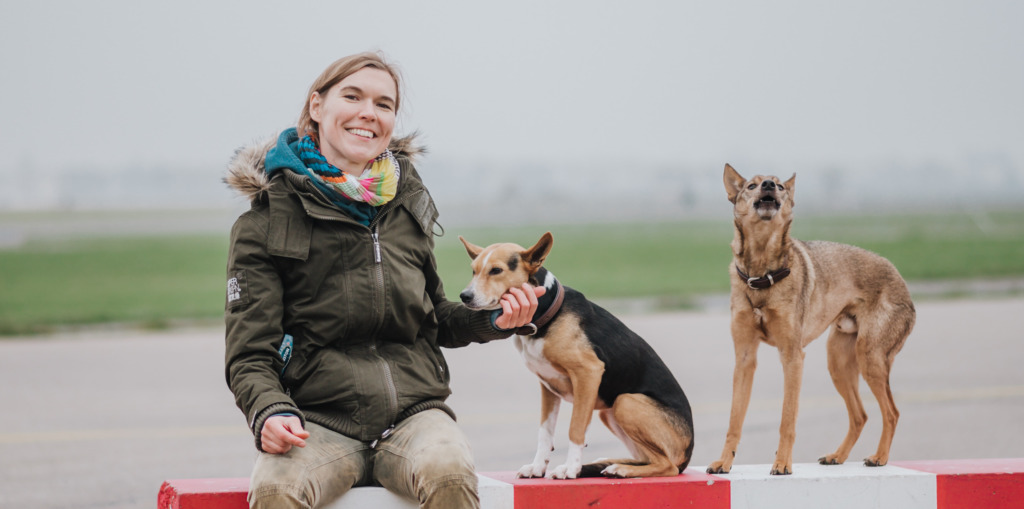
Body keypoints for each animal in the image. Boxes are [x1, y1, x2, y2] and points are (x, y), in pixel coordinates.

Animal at [462, 232, 696, 477]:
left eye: (496, 270)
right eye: (473, 270)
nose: (464, 296)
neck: (545, 312)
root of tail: (687, 454)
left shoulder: (588, 373)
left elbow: (576, 429)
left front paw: (571, 468)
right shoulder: (547, 387)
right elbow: (545, 433)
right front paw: (538, 467)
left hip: (625, 402)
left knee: (667, 465)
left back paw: (619, 469)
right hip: (609, 412)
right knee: (645, 458)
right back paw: (606, 463)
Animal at [708, 164, 917, 475]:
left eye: (780, 186)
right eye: (751, 186)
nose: (769, 185)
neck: (761, 275)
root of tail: (901, 281)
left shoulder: (792, 357)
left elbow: (787, 419)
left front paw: (782, 463)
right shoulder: (745, 358)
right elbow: (735, 419)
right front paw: (724, 462)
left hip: (870, 358)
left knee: (891, 412)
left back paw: (879, 457)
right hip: (838, 362)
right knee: (860, 415)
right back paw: (837, 456)